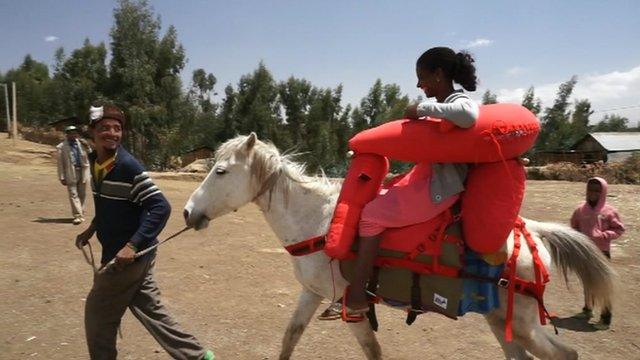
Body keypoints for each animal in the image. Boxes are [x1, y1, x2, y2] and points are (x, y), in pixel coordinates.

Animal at [184, 134, 616, 360]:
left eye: (220, 171)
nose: (188, 213)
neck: (318, 221)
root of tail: (533, 232)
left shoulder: (350, 308)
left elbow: (373, 350)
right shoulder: (312, 293)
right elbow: (290, 337)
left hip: (523, 323)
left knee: (566, 356)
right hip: (502, 321)